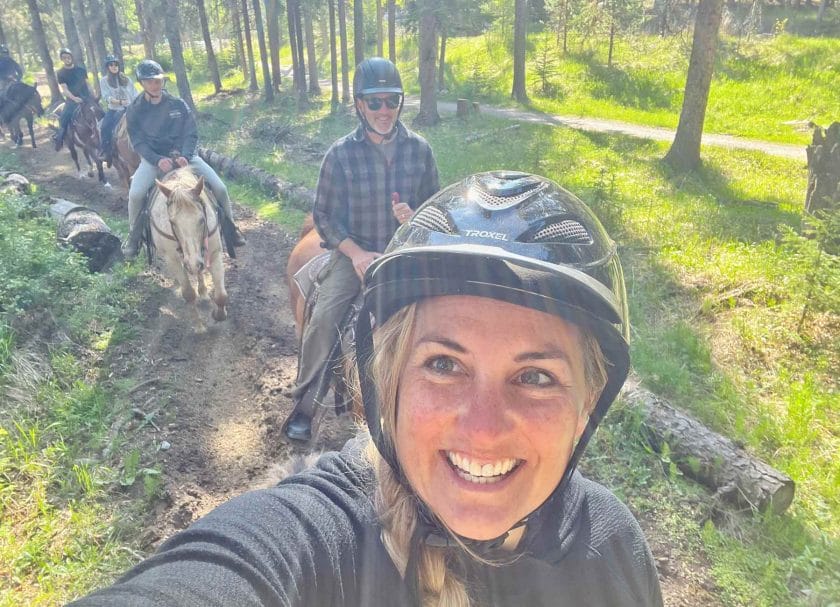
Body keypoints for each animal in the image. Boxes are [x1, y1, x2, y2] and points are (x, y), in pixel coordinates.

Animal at [148, 167, 226, 324]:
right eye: (172, 222)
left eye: (202, 219)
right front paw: (198, 325)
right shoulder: (173, 259)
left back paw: (203, 293)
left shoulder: (214, 252)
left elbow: (221, 295)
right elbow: (188, 293)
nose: (192, 264)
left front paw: (218, 314)